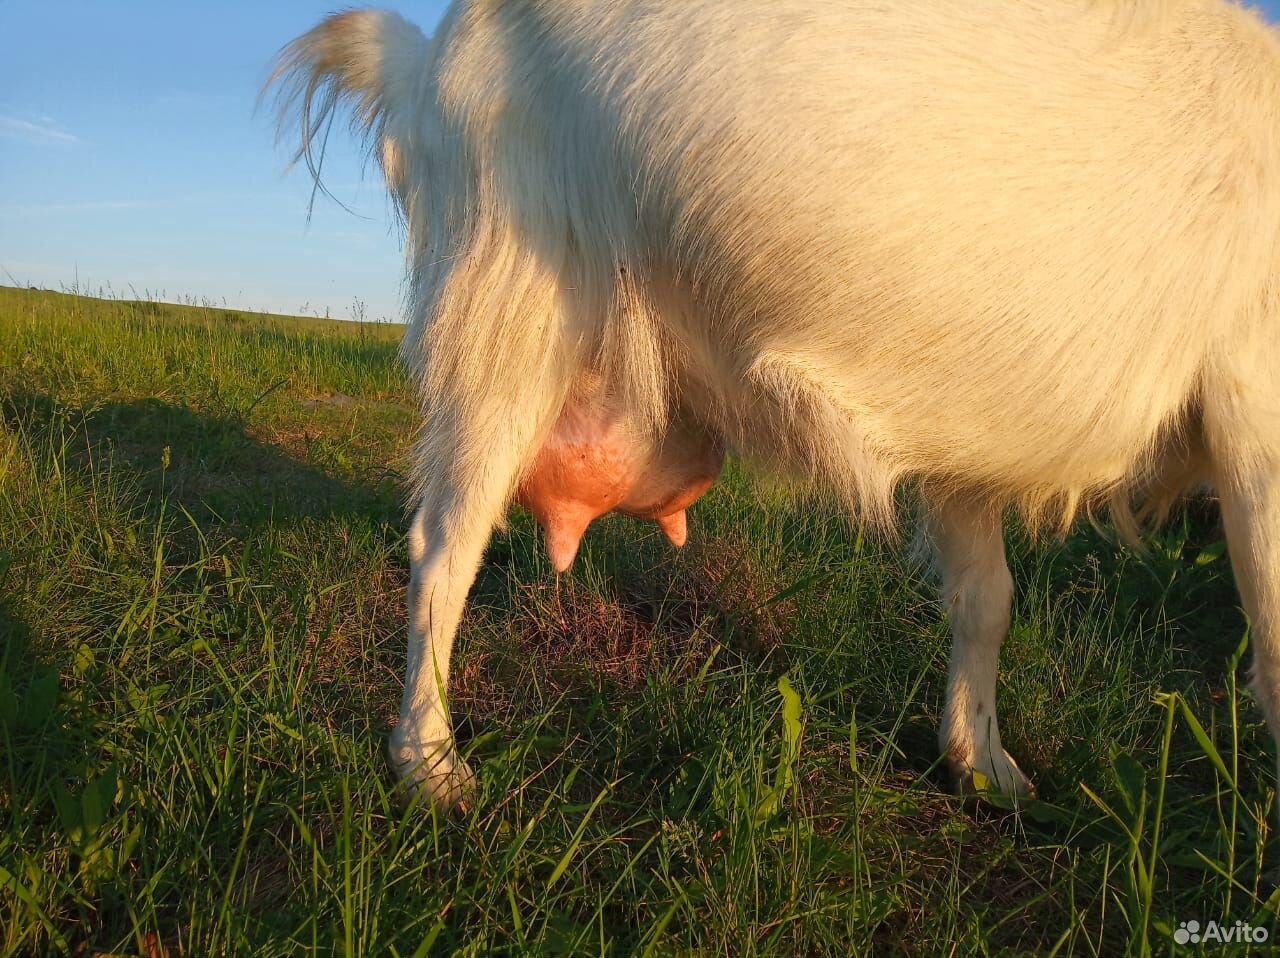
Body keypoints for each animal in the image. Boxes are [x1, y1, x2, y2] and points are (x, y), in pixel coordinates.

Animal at [270, 0, 1280, 809]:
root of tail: (428, 53)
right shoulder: (1255, 399)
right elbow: (1271, 637)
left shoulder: (964, 433)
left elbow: (985, 598)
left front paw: (980, 763)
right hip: (512, 300)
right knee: (445, 548)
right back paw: (428, 763)